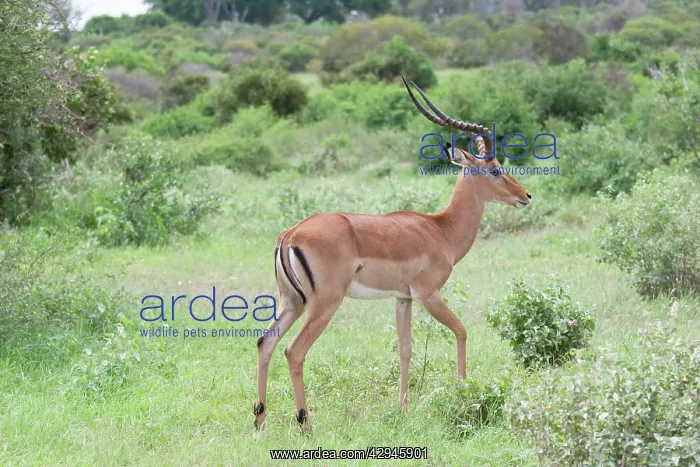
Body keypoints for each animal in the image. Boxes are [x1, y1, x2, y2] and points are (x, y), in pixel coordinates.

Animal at [253, 77, 531, 432]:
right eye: (495, 170)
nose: (525, 195)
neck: (440, 230)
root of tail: (290, 234)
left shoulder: (403, 298)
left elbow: (405, 348)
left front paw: (402, 408)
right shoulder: (429, 294)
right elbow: (461, 330)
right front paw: (462, 393)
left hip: (292, 301)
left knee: (266, 342)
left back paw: (259, 422)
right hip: (324, 303)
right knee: (293, 351)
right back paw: (305, 424)